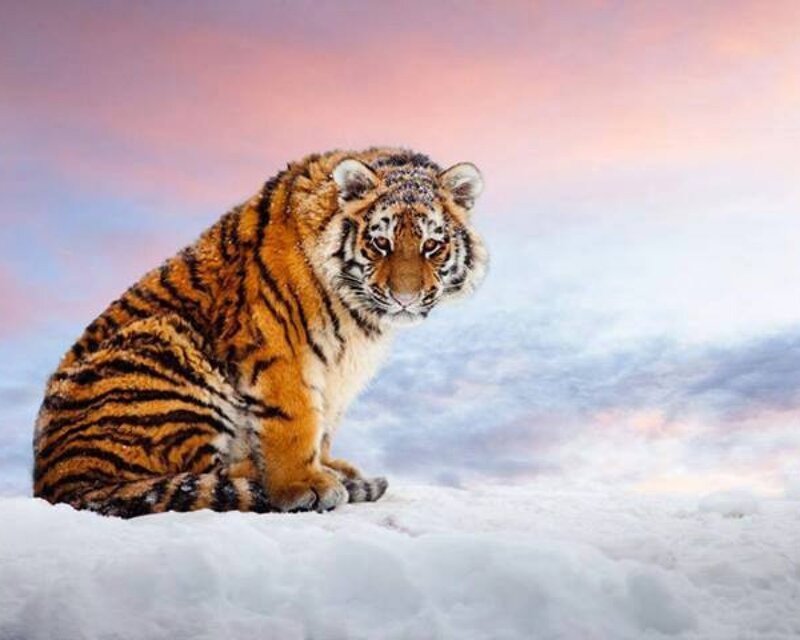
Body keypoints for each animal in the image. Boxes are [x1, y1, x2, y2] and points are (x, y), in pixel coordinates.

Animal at [32, 147, 487, 517]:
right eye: (380, 243)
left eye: (431, 246)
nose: (405, 299)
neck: (358, 312)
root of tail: (53, 484)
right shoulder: (278, 342)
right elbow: (294, 419)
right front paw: (305, 484)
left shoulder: (340, 369)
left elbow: (325, 422)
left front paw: (327, 465)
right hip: (164, 343)